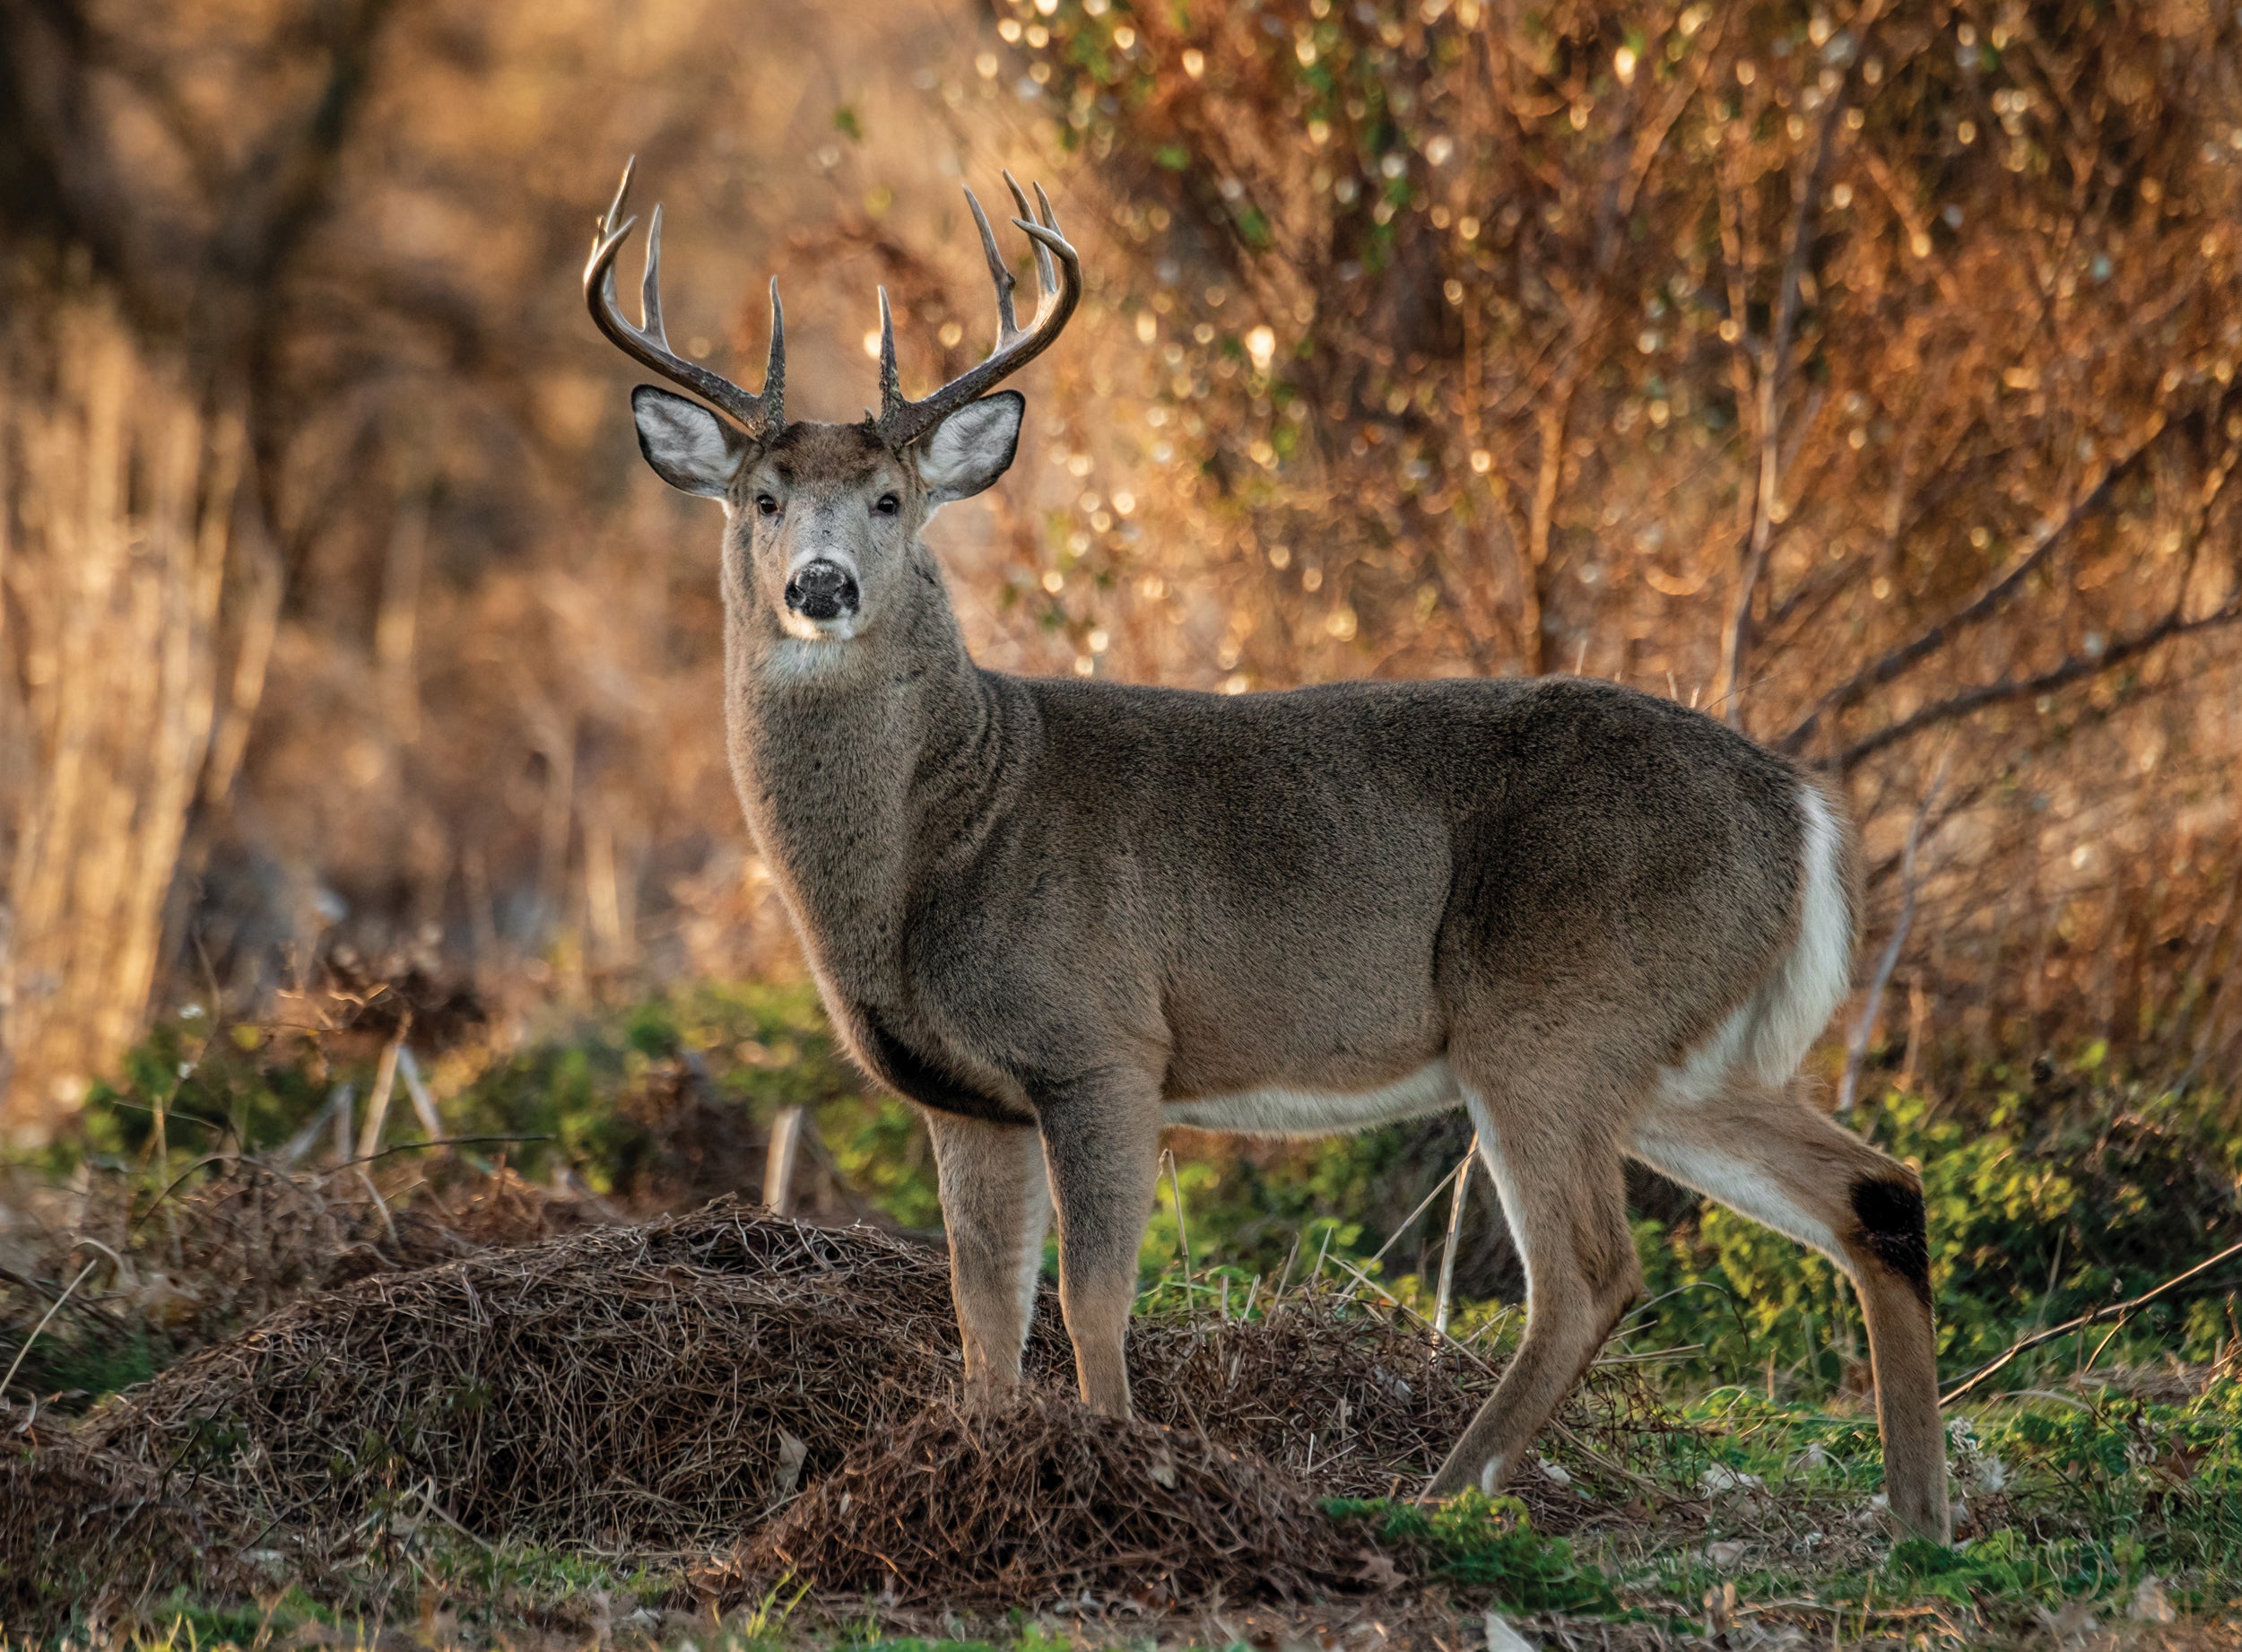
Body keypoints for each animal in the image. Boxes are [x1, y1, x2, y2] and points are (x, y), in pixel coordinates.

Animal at [585, 160, 1950, 1542]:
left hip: (1552, 1015)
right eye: (761, 499)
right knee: (1877, 1193)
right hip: (1674, 1049)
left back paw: (1435, 1496)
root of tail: (1801, 805)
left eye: (891, 500)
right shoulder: (963, 1095)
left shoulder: (1104, 1043)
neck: (946, 835)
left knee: (1590, 1271)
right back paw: (1917, 1520)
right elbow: (982, 1313)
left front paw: (1113, 1467)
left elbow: (1087, 1297)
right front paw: (974, 1466)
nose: (821, 586)